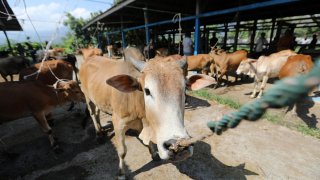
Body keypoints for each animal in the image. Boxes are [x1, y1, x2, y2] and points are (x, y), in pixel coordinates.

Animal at [79, 46, 216, 179]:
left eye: (184, 90)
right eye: (147, 90)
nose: (178, 146)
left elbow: (149, 141)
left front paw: (154, 154)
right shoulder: (118, 123)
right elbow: (122, 151)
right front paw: (121, 173)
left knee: (97, 112)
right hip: (87, 97)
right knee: (92, 114)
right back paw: (98, 134)